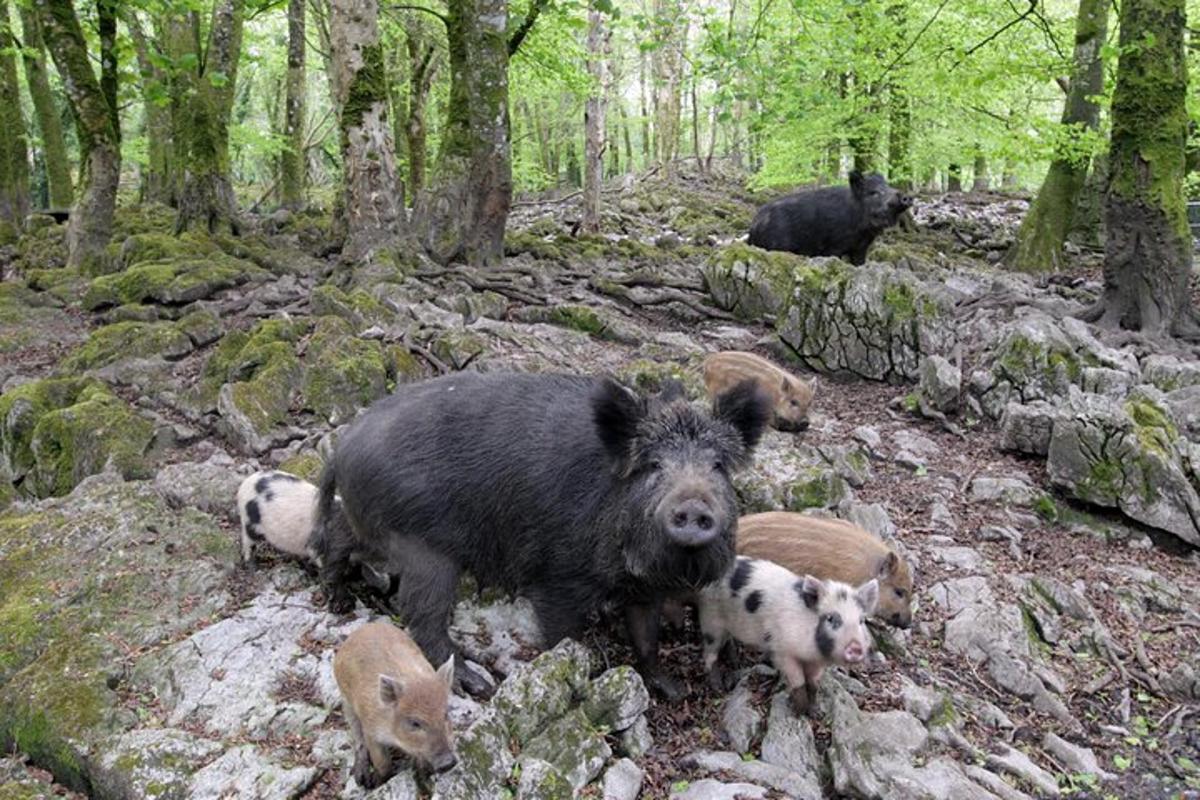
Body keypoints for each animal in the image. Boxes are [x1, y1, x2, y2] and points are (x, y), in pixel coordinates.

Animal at [304, 374, 763, 700]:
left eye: (718, 466)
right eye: (652, 465)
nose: (694, 504)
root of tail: (343, 447)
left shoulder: (645, 589)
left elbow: (646, 639)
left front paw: (672, 691)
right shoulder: (556, 578)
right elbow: (564, 636)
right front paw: (579, 675)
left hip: (378, 530)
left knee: (341, 536)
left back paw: (338, 601)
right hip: (426, 551)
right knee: (421, 618)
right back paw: (479, 685)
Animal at [744, 171, 912, 266]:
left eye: (888, 186)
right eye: (874, 192)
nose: (907, 197)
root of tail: (753, 225)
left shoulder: (860, 248)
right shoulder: (834, 246)